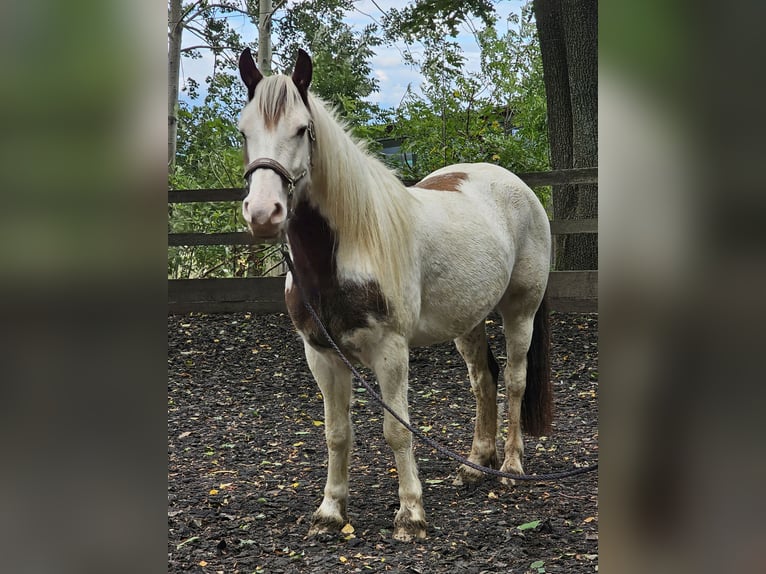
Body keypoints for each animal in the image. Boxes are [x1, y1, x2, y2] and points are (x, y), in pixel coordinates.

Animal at [236, 49, 552, 544]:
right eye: (243, 131)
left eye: (302, 129)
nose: (264, 213)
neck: (346, 251)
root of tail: (513, 182)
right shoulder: (321, 355)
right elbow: (337, 433)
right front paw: (330, 512)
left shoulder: (391, 353)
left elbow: (396, 431)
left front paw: (411, 514)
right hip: (468, 321)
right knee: (483, 381)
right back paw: (475, 465)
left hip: (521, 311)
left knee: (516, 382)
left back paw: (512, 467)